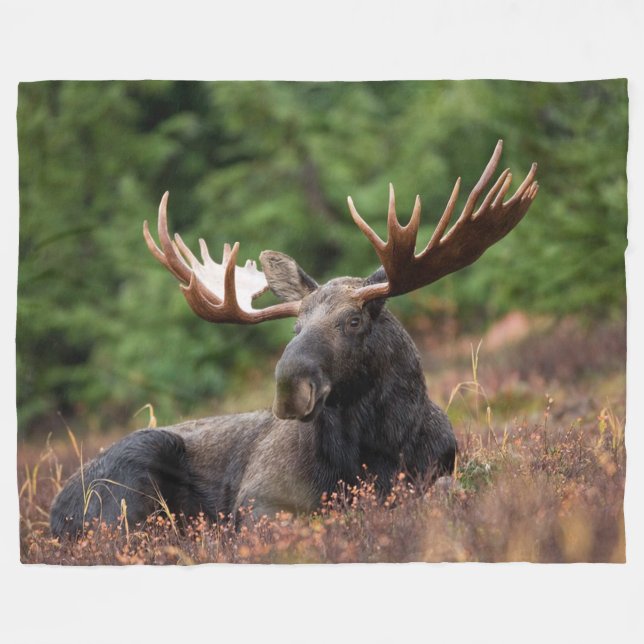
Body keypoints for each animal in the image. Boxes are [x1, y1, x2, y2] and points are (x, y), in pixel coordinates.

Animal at [49, 140, 538, 538]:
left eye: (353, 321)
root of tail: (55, 511)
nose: (289, 387)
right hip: (132, 476)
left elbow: (445, 490)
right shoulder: (258, 499)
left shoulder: (439, 469)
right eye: (295, 327)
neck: (379, 448)